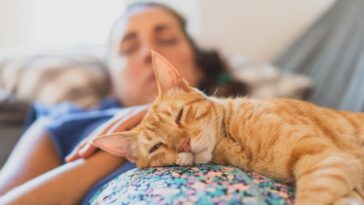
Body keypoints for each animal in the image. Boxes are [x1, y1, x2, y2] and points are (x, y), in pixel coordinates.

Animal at [93, 51, 364, 205]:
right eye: (156, 146)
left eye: (179, 116)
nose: (184, 145)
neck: (233, 141)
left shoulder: (325, 158)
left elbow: (312, 196)